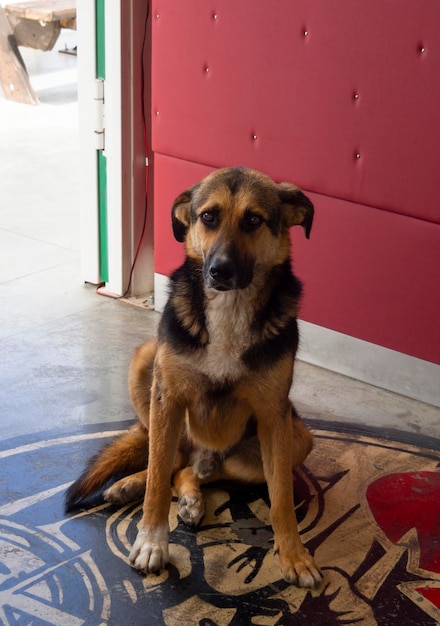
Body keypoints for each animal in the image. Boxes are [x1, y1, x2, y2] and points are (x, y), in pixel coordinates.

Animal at [67, 165, 324, 584]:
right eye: (208, 216)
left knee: (190, 469)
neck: (229, 310)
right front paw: (152, 542)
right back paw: (132, 485)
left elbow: (282, 497)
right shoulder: (166, 398)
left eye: (254, 220)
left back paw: (189, 495)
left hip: (295, 440)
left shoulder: (274, 416)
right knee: (166, 460)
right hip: (147, 363)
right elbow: (157, 479)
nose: (219, 272)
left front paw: (294, 555)